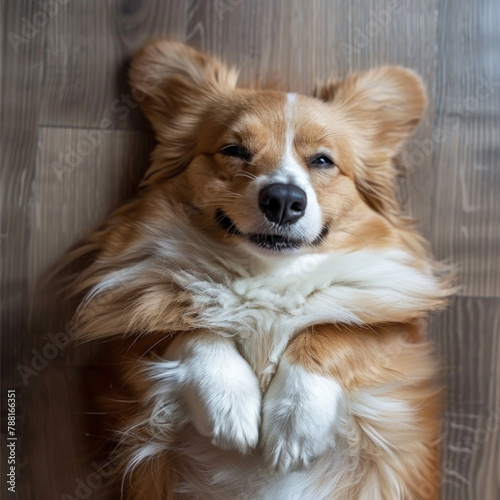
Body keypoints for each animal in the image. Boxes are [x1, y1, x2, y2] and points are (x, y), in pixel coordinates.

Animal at [63, 41, 454, 498]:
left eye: (323, 161)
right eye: (234, 150)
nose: (283, 199)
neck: (266, 275)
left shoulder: (399, 333)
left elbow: (337, 328)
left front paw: (295, 421)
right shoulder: (125, 340)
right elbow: (189, 325)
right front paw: (230, 405)